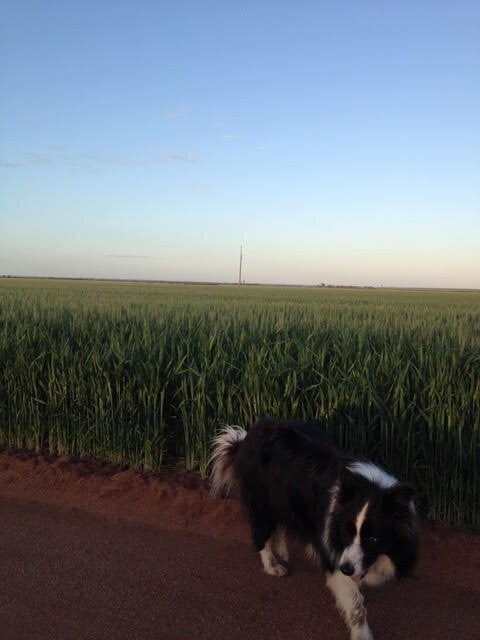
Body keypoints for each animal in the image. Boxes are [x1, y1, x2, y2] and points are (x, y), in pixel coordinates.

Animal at [210, 418, 416, 640]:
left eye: (373, 539)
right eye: (347, 532)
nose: (346, 569)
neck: (372, 487)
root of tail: (245, 437)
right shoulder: (333, 548)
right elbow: (354, 604)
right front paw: (361, 634)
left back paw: (282, 551)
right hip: (261, 498)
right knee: (261, 529)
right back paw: (273, 566)